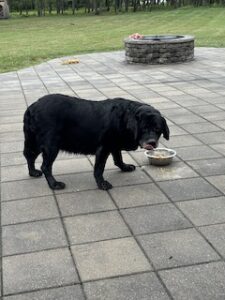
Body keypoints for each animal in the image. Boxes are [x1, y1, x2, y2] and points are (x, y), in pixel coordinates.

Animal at [24, 94, 169, 190]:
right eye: (143, 128)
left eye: (157, 129)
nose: (152, 142)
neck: (124, 118)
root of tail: (32, 106)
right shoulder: (103, 147)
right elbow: (99, 168)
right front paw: (102, 183)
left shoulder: (114, 145)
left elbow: (118, 158)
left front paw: (125, 167)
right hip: (51, 145)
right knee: (45, 166)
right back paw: (54, 184)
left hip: (35, 141)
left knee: (29, 155)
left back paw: (33, 172)